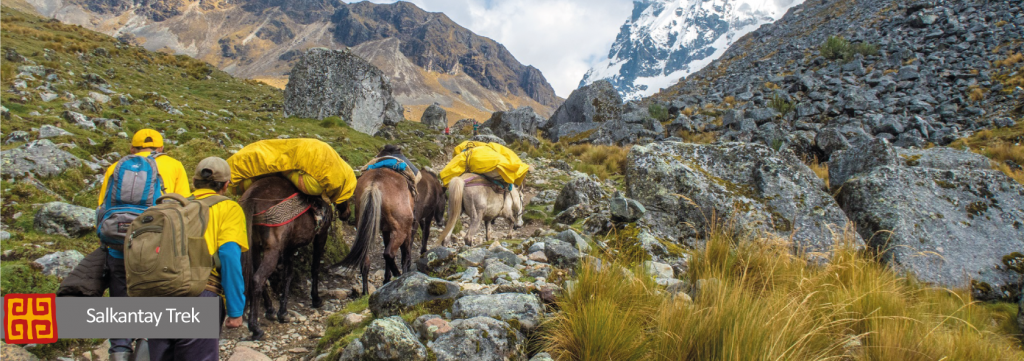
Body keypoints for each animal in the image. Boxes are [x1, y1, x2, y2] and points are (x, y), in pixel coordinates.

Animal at [239, 175, 352, 339]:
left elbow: (288, 275)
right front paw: (316, 299)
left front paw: (283, 312)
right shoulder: (321, 235)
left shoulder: (289, 247)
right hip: (272, 250)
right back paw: (256, 328)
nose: (347, 214)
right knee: (258, 279)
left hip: (254, 247)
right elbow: (315, 267)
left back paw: (270, 310)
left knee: (257, 277)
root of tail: (252, 197)